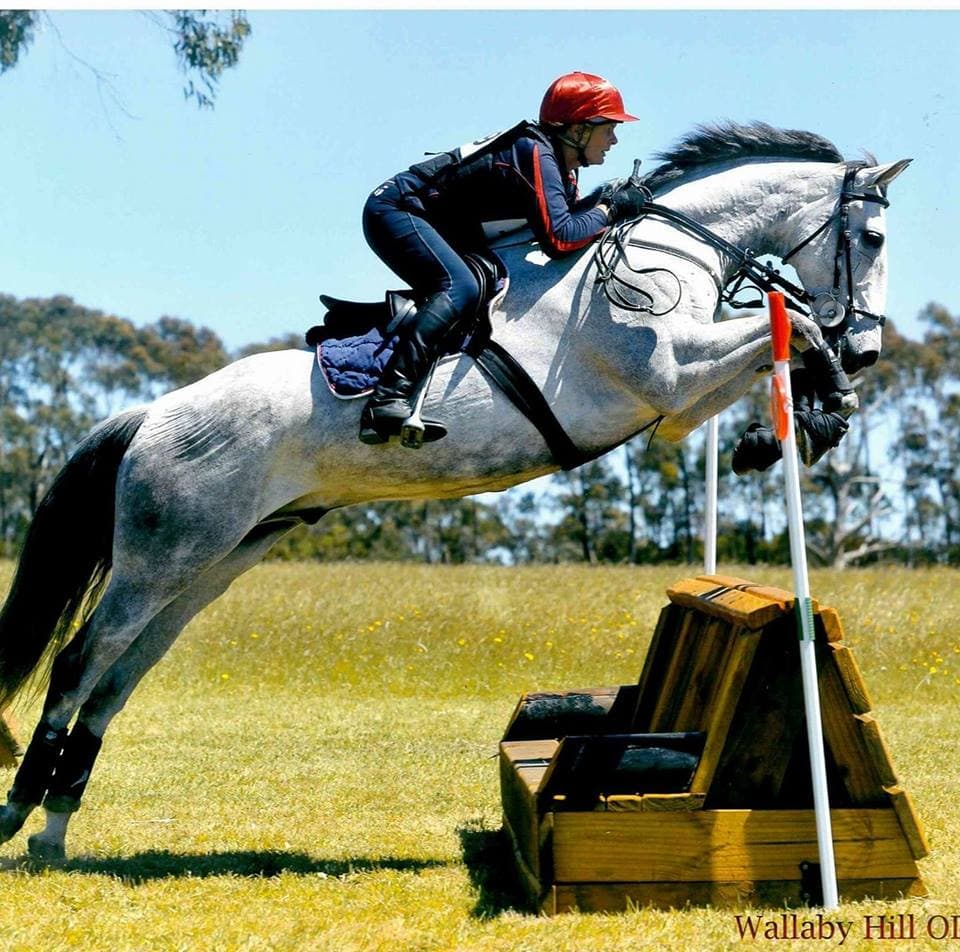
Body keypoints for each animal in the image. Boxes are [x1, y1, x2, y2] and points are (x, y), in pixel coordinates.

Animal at [0, 122, 909, 860]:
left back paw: (55, 826)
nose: (869, 348)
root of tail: (150, 414)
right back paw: (19, 810)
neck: (667, 249)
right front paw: (826, 399)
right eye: (870, 235)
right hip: (160, 557)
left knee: (118, 675)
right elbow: (788, 326)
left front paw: (798, 422)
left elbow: (778, 339)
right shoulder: (669, 370)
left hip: (213, 563)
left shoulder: (683, 398)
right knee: (81, 660)